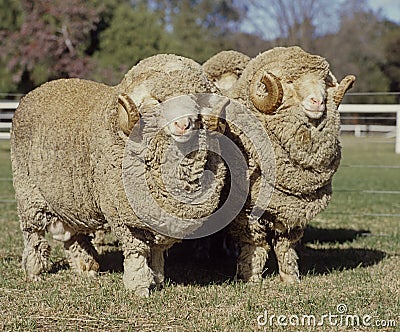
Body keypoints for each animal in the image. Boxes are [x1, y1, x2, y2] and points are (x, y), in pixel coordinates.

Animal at [11, 53, 228, 296]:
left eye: (196, 103)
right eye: (158, 102)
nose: (184, 125)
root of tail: (39, 89)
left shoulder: (158, 220)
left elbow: (156, 253)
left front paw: (157, 280)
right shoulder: (125, 218)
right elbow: (137, 252)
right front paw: (139, 286)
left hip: (70, 200)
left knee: (74, 236)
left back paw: (86, 268)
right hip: (29, 196)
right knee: (34, 236)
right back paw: (34, 272)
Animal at [205, 46, 354, 284]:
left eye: (324, 82)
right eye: (290, 82)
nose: (318, 102)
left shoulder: (292, 210)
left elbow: (285, 246)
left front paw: (290, 278)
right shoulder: (247, 212)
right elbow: (255, 245)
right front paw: (251, 277)